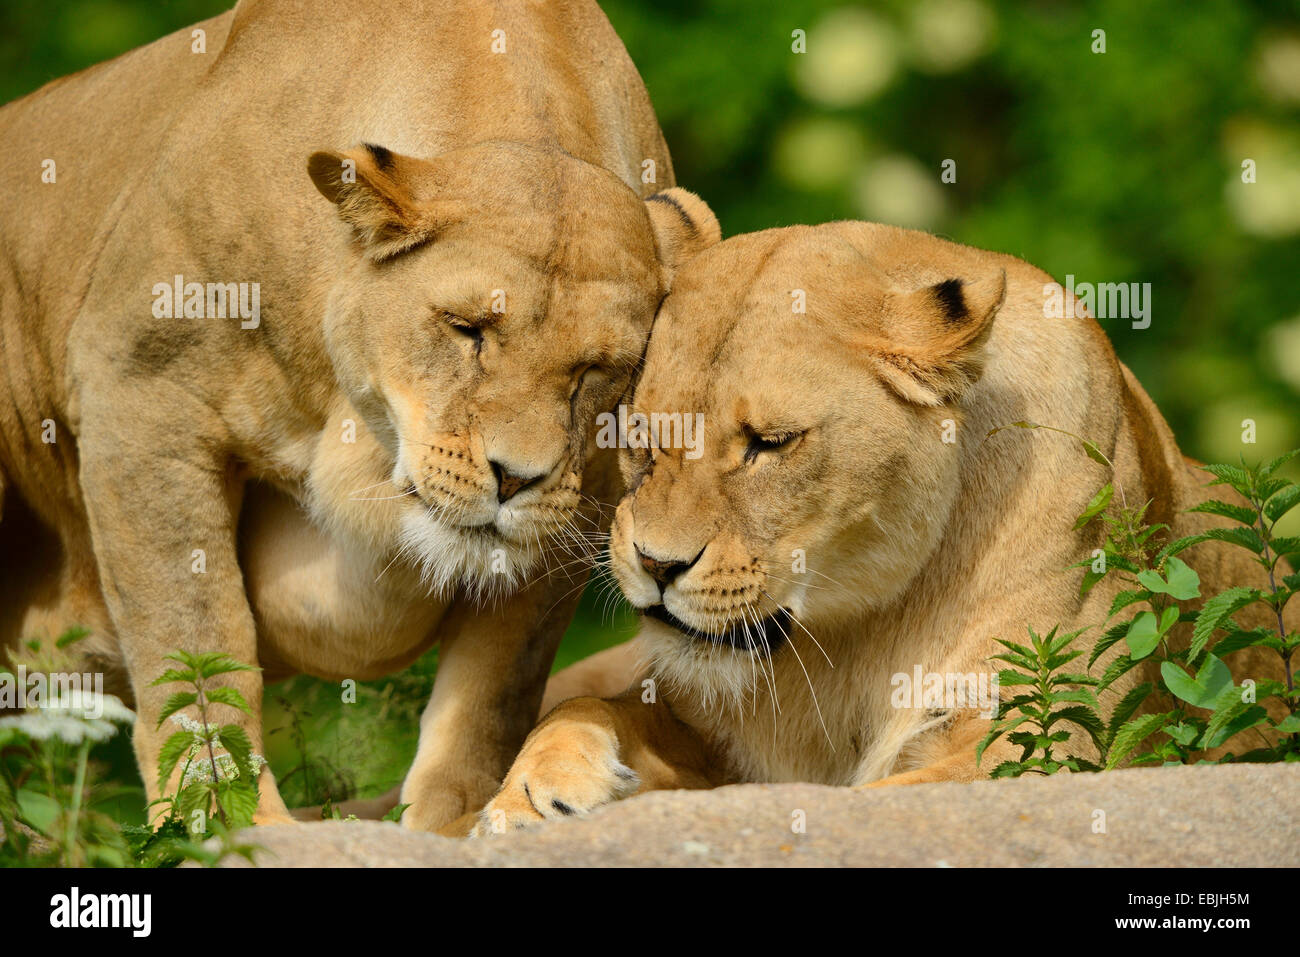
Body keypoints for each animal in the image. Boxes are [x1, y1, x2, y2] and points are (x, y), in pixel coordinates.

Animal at [0, 0, 718, 832]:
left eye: (598, 371)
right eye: (468, 328)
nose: (516, 479)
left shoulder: (585, 496)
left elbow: (491, 687)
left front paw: (457, 818)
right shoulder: (141, 393)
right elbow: (198, 640)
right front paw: (228, 822)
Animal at [471, 221, 1293, 833]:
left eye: (771, 442)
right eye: (641, 434)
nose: (657, 564)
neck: (849, 635)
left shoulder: (1052, 737)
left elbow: (883, 802)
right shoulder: (706, 730)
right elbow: (584, 709)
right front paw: (534, 794)